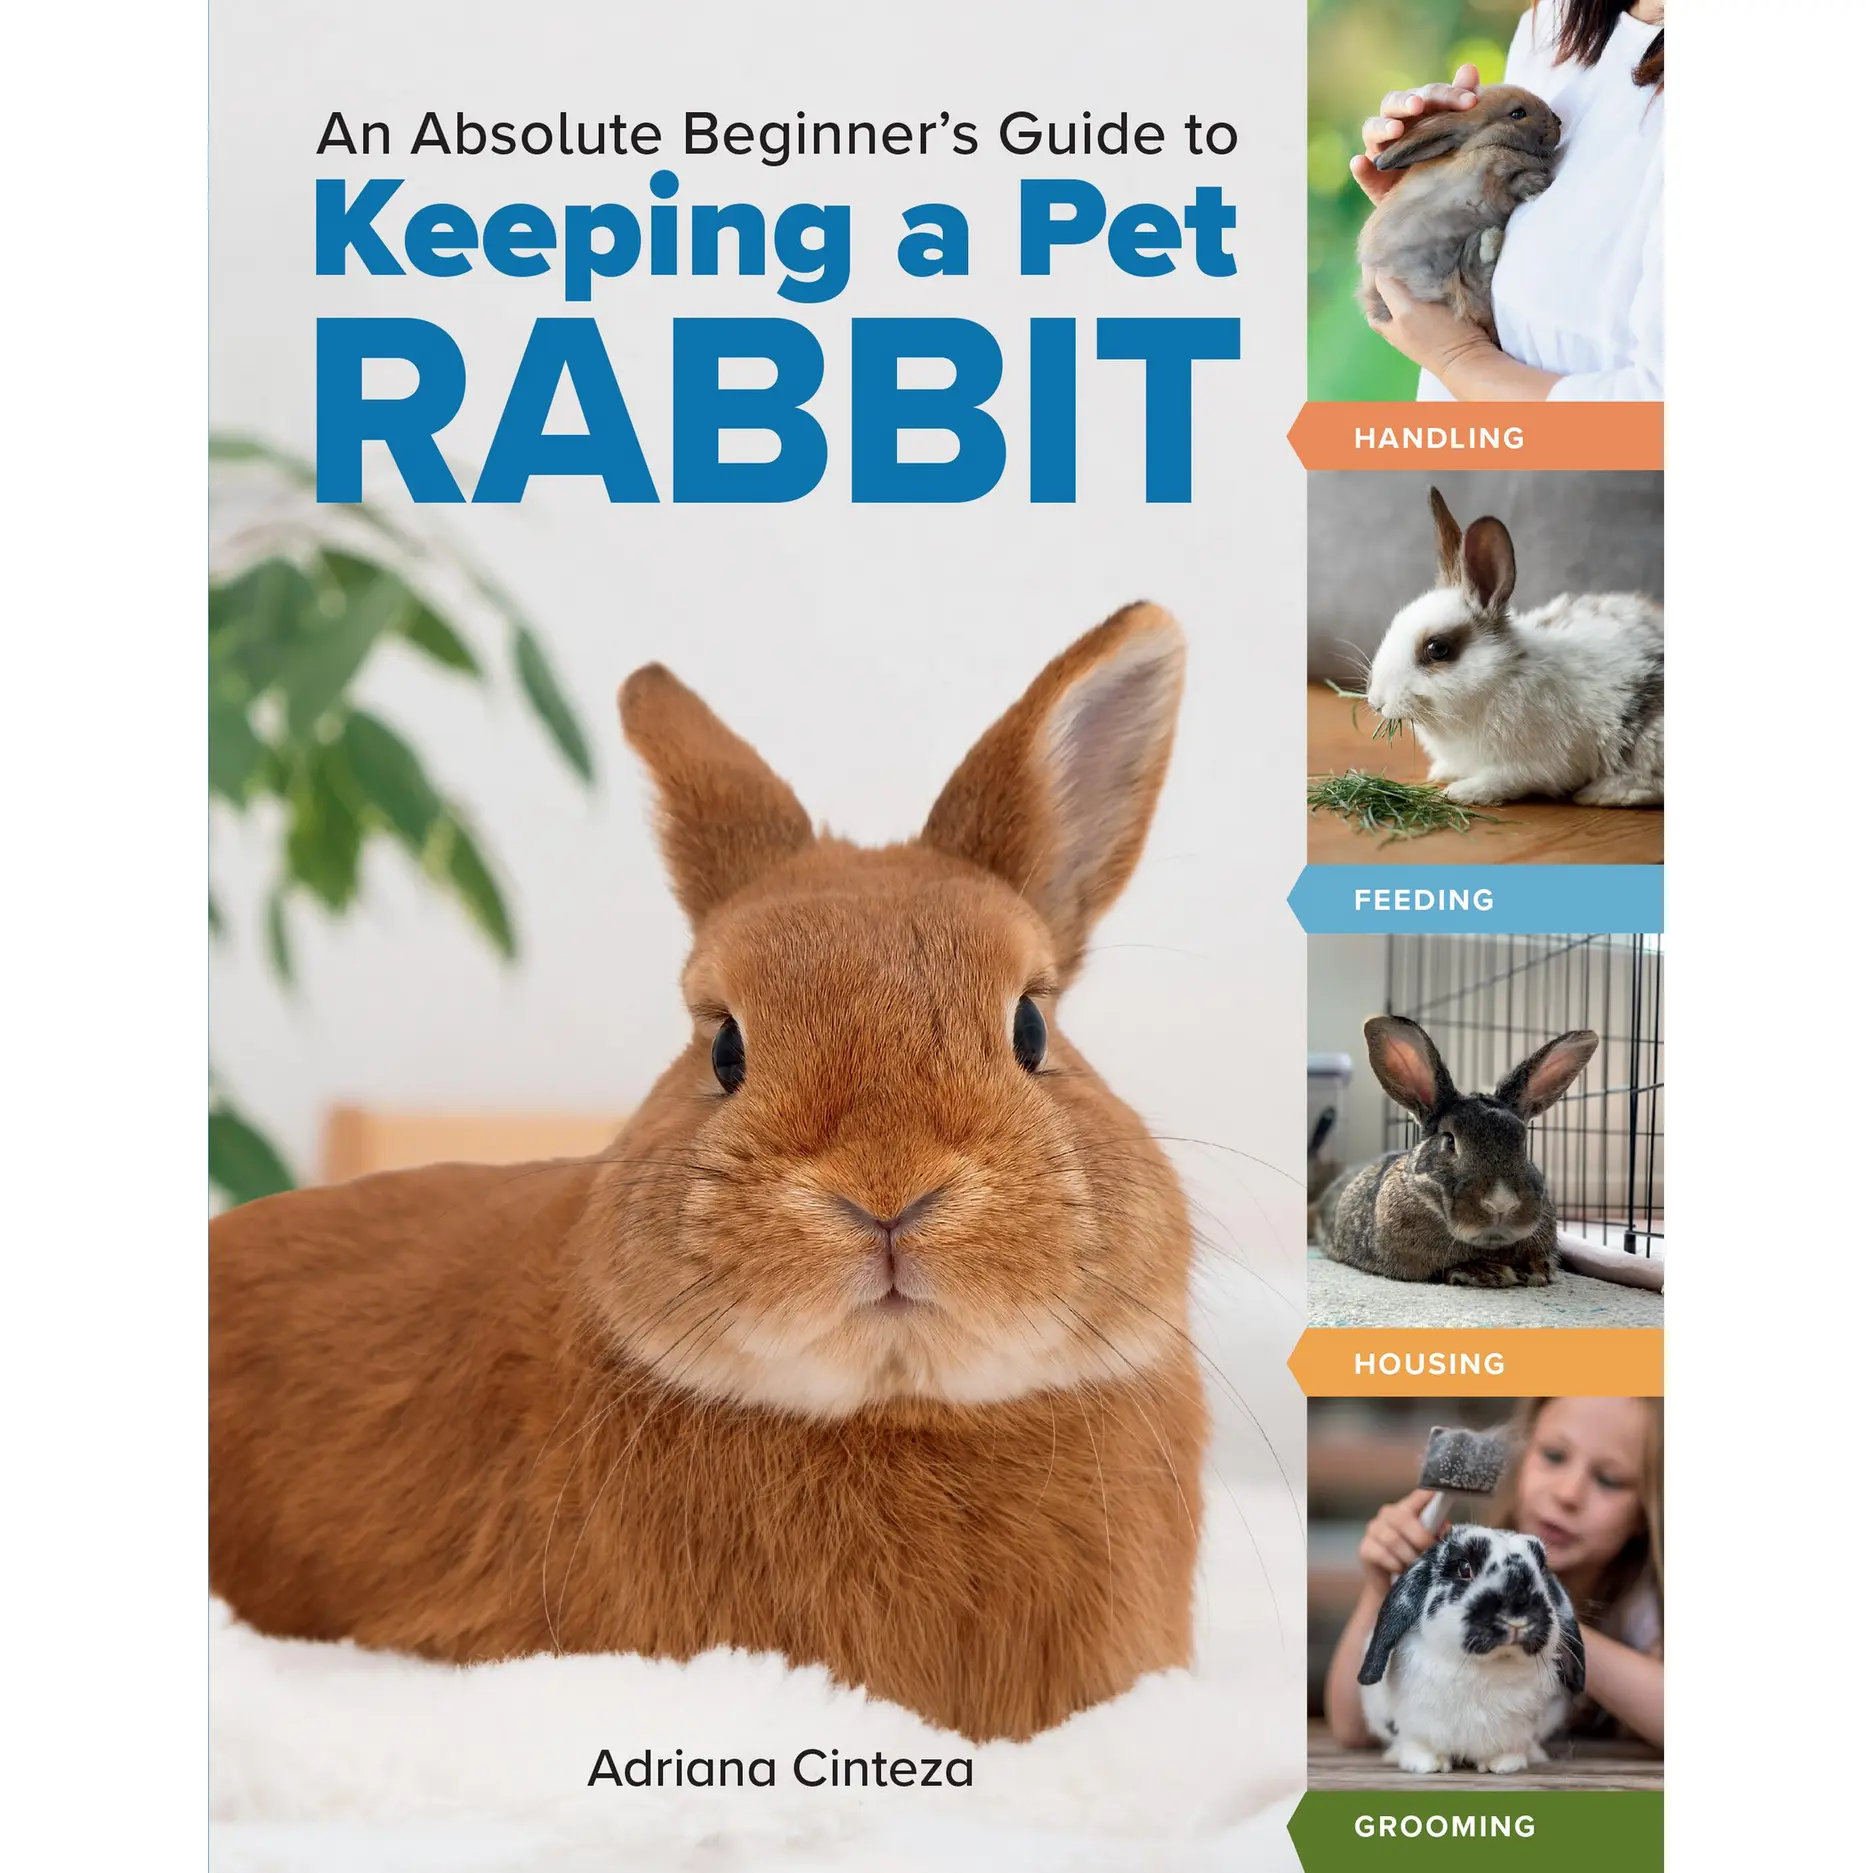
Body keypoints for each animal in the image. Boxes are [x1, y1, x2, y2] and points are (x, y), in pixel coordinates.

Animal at [1356, 85, 1563, 343]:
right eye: (1518, 114)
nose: (1558, 120)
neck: (1481, 146)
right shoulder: (1492, 183)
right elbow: (1514, 183)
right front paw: (1537, 185)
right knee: (1469, 293)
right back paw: (1489, 242)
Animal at [1358, 1525, 1586, 1775]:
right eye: (1464, 1568)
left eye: (1541, 1568)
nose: (1518, 1617)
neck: (1490, 1665)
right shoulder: (1415, 1727)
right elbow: (1418, 1745)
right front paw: (1427, 1765)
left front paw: (1503, 1765)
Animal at [1362, 488, 1665, 808]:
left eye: (1437, 649)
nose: (1376, 702)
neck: (1502, 676)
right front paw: (1442, 772)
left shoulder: (1533, 767)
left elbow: (1501, 781)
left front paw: (1461, 792)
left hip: (1647, 739)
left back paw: (1601, 793)